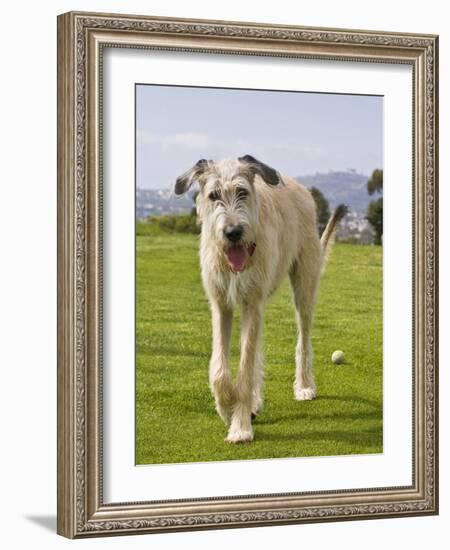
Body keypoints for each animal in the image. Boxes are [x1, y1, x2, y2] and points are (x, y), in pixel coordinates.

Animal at [174, 156, 346, 444]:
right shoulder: (221, 304)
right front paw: (227, 409)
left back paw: (304, 386)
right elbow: (220, 369)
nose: (233, 232)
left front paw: (241, 426)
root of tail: (300, 187)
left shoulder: (251, 304)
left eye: (242, 192)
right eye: (213, 195)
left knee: (302, 338)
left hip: (304, 284)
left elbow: (245, 369)